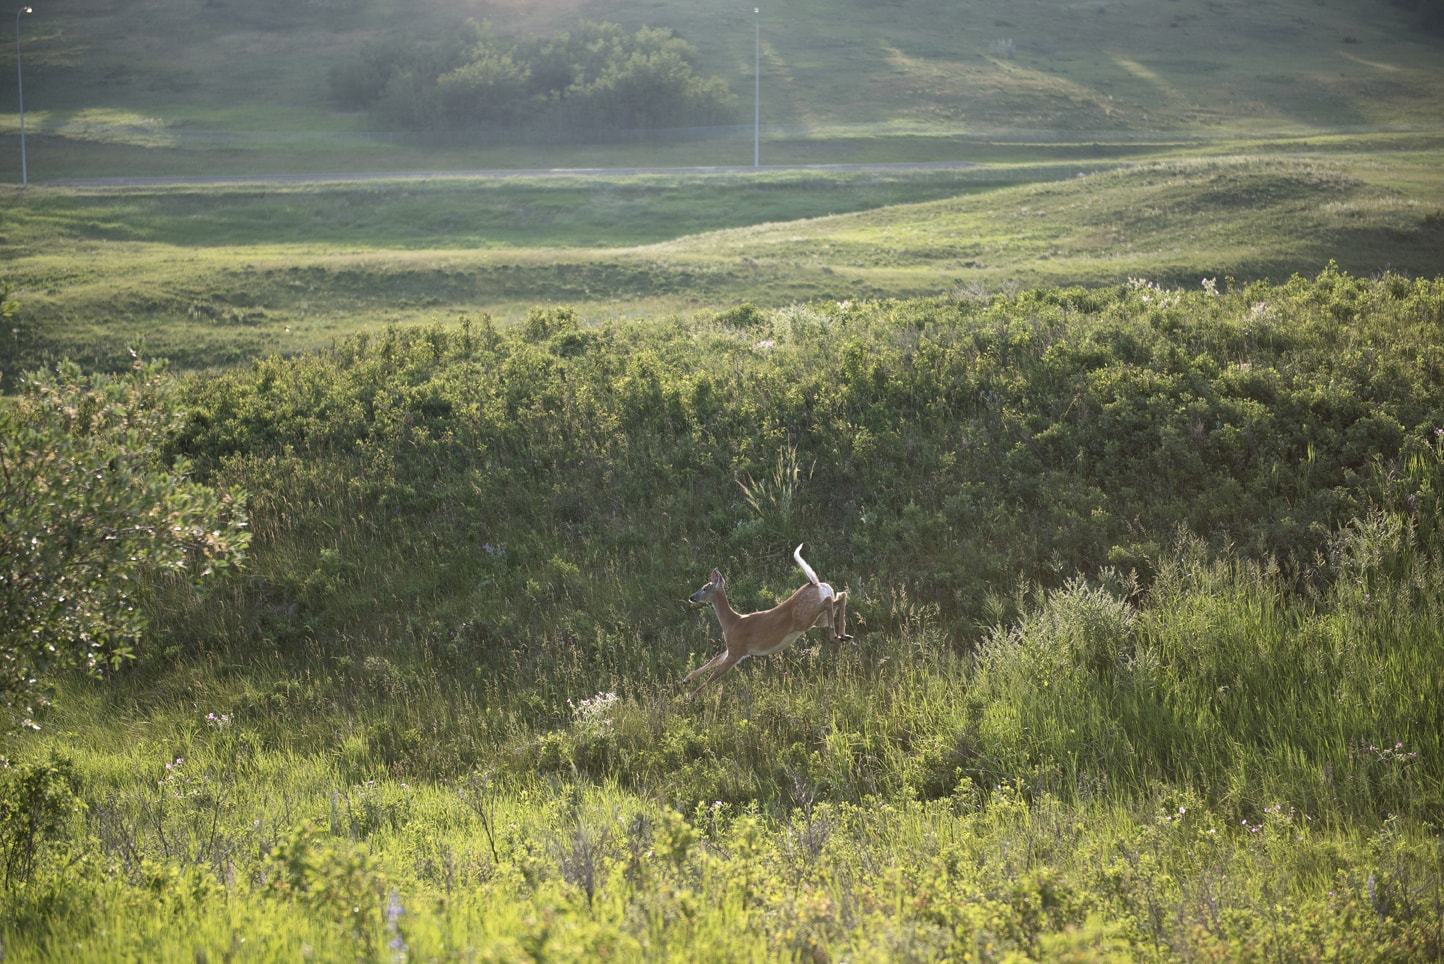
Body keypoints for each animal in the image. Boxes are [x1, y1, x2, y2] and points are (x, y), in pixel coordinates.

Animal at [684, 542, 849, 701]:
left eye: (704, 588)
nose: (691, 597)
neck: (731, 622)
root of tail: (814, 583)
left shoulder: (736, 650)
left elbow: (714, 675)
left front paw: (691, 697)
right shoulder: (734, 648)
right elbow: (714, 660)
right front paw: (687, 679)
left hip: (805, 617)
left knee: (830, 600)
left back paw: (835, 635)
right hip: (818, 619)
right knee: (840, 596)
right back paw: (843, 635)